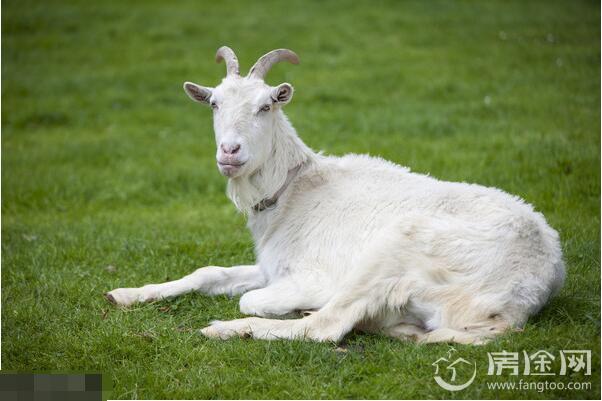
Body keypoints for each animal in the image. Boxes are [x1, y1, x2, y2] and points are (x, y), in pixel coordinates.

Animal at [106, 45, 564, 342]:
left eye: (266, 106)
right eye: (214, 103)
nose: (230, 152)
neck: (295, 191)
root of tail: (528, 289)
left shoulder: (313, 277)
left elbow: (251, 300)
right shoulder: (274, 268)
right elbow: (208, 273)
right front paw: (126, 294)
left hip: (397, 249)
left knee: (325, 326)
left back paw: (226, 330)